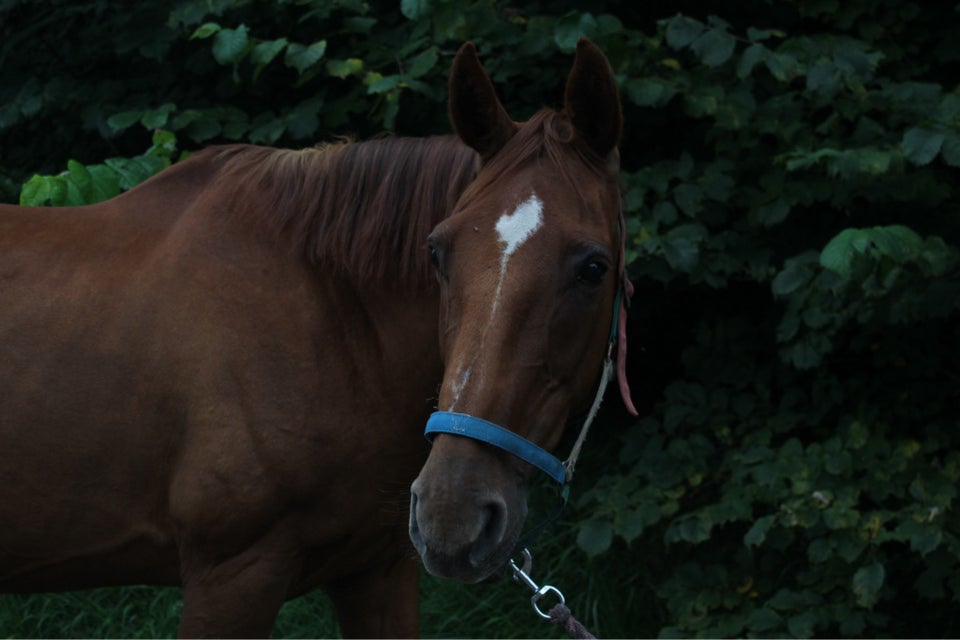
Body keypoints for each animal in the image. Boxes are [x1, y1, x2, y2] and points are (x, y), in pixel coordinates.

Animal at [0, 38, 632, 636]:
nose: (453, 514)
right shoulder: (232, 576)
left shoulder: (377, 570)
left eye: (593, 268)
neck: (332, 321)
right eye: (436, 252)